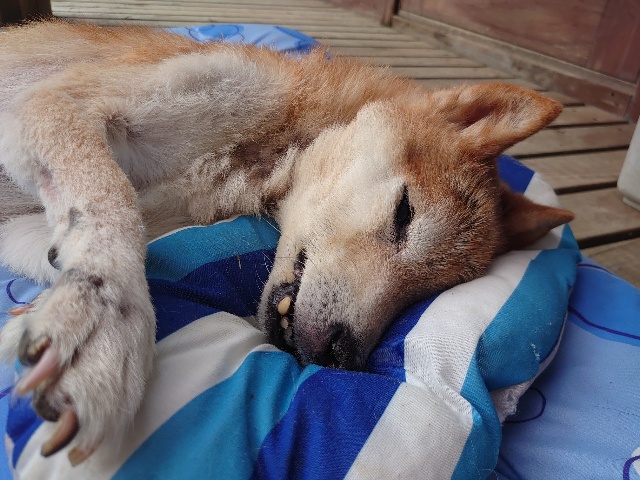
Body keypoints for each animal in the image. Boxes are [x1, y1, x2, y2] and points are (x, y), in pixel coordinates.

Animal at [0, 20, 573, 465]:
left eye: (428, 293)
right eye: (405, 212)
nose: (341, 356)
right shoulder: (55, 105)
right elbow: (112, 210)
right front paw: (101, 321)